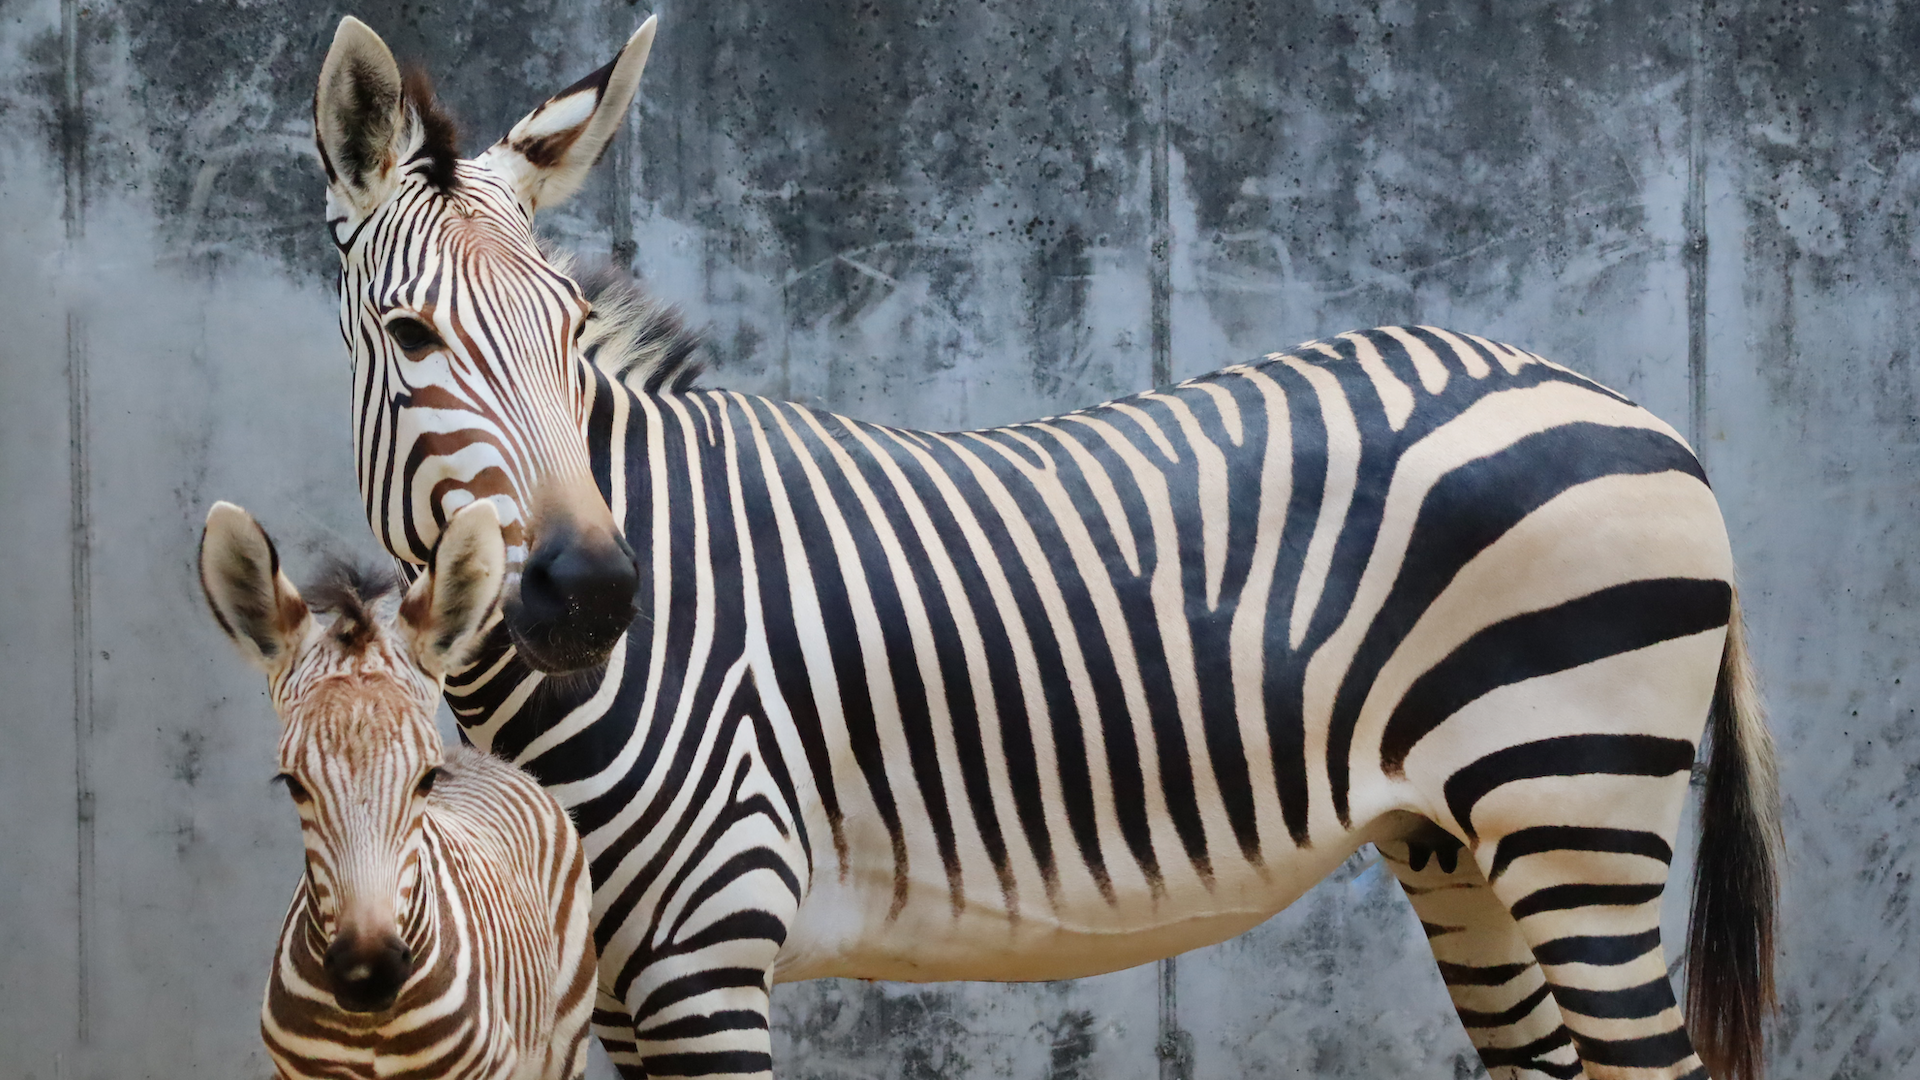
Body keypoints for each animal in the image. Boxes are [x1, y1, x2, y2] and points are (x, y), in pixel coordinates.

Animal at [197, 499, 591, 1076]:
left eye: (426, 779)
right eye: (293, 783)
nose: (369, 974)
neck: (371, 1033)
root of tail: (487, 760)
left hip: (565, 1037)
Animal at [311, 16, 1766, 1076]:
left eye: (567, 331)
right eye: (410, 335)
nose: (599, 594)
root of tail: (1639, 409)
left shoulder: (705, 952)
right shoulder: (618, 982)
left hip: (1576, 807)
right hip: (1461, 838)